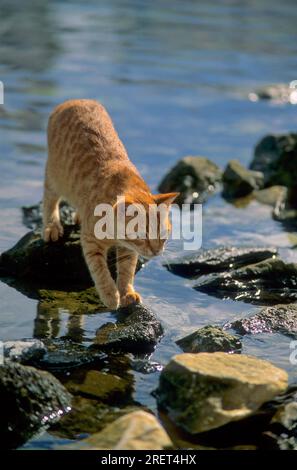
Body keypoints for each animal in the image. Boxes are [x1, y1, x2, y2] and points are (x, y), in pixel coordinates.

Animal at [42, 100, 177, 308]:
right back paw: (52, 226)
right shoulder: (90, 242)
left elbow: (127, 270)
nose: (156, 252)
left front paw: (127, 292)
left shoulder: (129, 250)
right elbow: (100, 271)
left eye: (163, 233)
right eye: (143, 235)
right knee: (49, 198)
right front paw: (110, 295)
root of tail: (75, 100)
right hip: (55, 177)